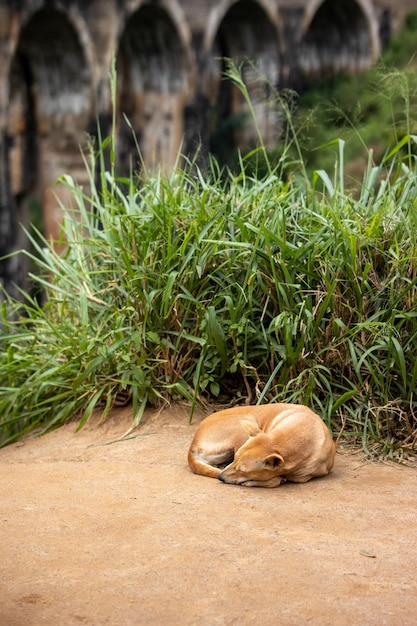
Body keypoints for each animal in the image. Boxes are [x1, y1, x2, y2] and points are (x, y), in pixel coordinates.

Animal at [188, 402, 334, 486]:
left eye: (241, 470)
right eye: (235, 459)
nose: (220, 477)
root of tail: (192, 445)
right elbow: (276, 479)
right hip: (246, 422)